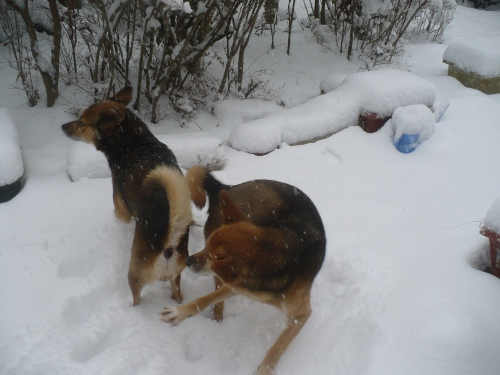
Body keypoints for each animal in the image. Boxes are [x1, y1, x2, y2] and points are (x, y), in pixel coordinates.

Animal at [62, 86, 191, 306]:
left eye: (82, 122)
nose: (63, 126)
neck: (134, 142)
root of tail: (168, 246)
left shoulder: (121, 204)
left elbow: (119, 214)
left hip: (135, 272)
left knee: (136, 295)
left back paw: (130, 306)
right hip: (176, 277)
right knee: (178, 294)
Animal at [162, 167, 326, 375]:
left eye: (213, 257)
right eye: (206, 248)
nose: (188, 261)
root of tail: (224, 187)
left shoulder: (300, 315)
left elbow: (277, 348)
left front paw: (264, 370)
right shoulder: (235, 284)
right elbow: (204, 299)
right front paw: (180, 312)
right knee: (217, 295)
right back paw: (218, 318)